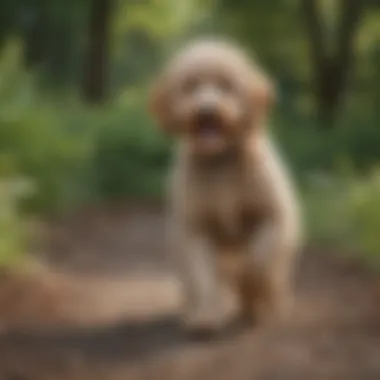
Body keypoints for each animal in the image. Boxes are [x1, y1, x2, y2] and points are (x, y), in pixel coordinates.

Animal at [148, 38, 302, 334]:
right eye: (190, 85)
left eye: (226, 85)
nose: (206, 112)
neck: (220, 160)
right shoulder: (195, 229)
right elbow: (203, 276)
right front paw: (206, 317)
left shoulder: (275, 216)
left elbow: (259, 261)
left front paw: (249, 291)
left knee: (270, 277)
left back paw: (265, 307)